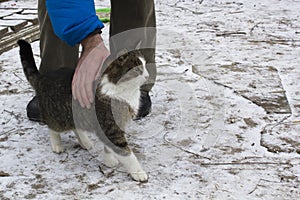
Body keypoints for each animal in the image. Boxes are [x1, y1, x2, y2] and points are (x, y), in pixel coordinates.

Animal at [17, 39, 149, 182]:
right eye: (138, 69)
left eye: (145, 65)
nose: (148, 76)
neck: (125, 91)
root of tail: (42, 78)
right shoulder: (111, 128)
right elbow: (127, 154)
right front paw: (138, 172)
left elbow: (108, 147)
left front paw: (108, 160)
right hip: (58, 118)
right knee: (52, 128)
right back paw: (57, 144)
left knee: (76, 126)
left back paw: (84, 141)